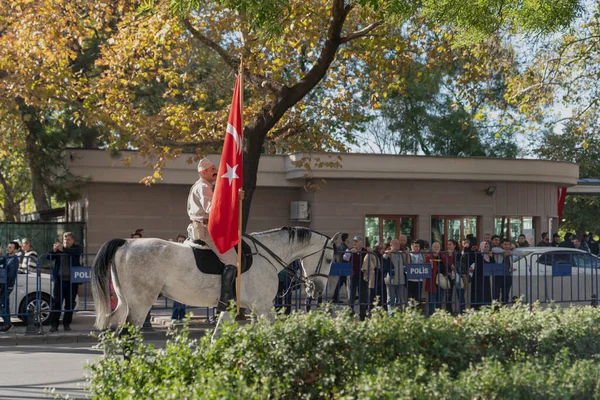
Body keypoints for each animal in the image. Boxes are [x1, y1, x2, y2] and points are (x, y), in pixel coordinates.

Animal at [91, 227, 340, 330]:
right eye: (329, 258)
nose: (317, 290)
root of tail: (127, 243)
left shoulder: (230, 307)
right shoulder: (263, 307)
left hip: (124, 302)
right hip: (140, 304)